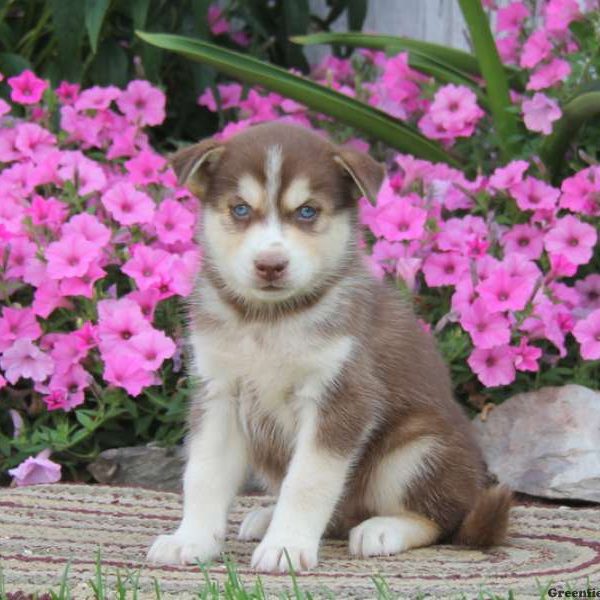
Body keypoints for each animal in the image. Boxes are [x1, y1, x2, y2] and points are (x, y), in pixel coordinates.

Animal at [146, 120, 510, 572]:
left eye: (307, 211)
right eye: (241, 209)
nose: (270, 265)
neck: (268, 320)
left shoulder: (342, 396)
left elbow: (308, 480)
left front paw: (286, 546)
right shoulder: (219, 393)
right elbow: (203, 474)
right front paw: (191, 540)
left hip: (418, 448)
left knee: (443, 520)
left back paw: (384, 529)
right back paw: (268, 517)